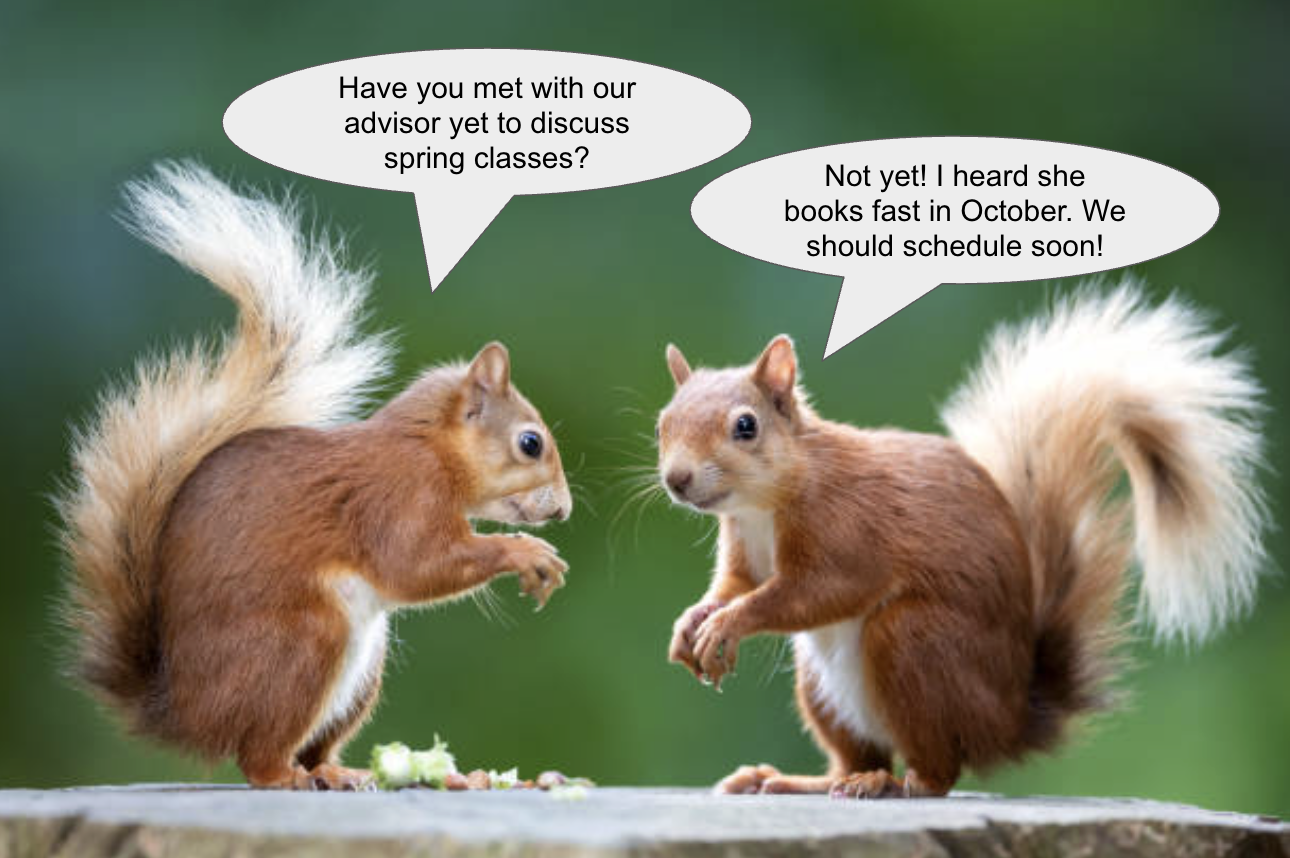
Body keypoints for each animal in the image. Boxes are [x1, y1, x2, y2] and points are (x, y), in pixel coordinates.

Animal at [55, 163, 573, 791]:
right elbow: (415, 564)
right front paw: (526, 553)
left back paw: (348, 771)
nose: (564, 509)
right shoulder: (398, 496)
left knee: (314, 747)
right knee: (257, 757)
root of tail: (182, 713)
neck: (428, 448)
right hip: (303, 643)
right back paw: (284, 776)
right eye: (530, 443)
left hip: (361, 671)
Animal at [657, 284, 1268, 798]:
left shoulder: (846, 531)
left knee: (939, 771)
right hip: (821, 683)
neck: (762, 505)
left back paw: (890, 784)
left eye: (746, 426)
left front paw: (729, 624)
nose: (676, 479)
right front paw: (694, 621)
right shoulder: (743, 546)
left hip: (914, 643)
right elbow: (737, 583)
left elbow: (818, 591)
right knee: (855, 756)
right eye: (663, 423)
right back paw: (797, 780)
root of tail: (1009, 720)